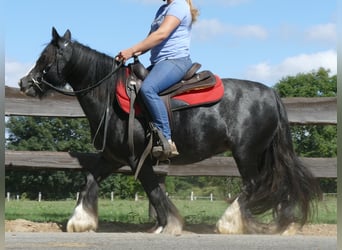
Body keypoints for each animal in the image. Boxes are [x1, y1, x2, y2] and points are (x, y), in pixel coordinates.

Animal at [18, 27, 320, 234]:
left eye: (45, 58)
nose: (24, 83)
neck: (110, 96)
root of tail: (271, 93)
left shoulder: (136, 159)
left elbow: (154, 191)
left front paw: (169, 224)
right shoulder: (112, 157)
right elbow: (89, 181)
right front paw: (81, 221)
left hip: (246, 152)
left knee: (255, 184)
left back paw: (230, 222)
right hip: (260, 153)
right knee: (276, 184)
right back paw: (280, 223)